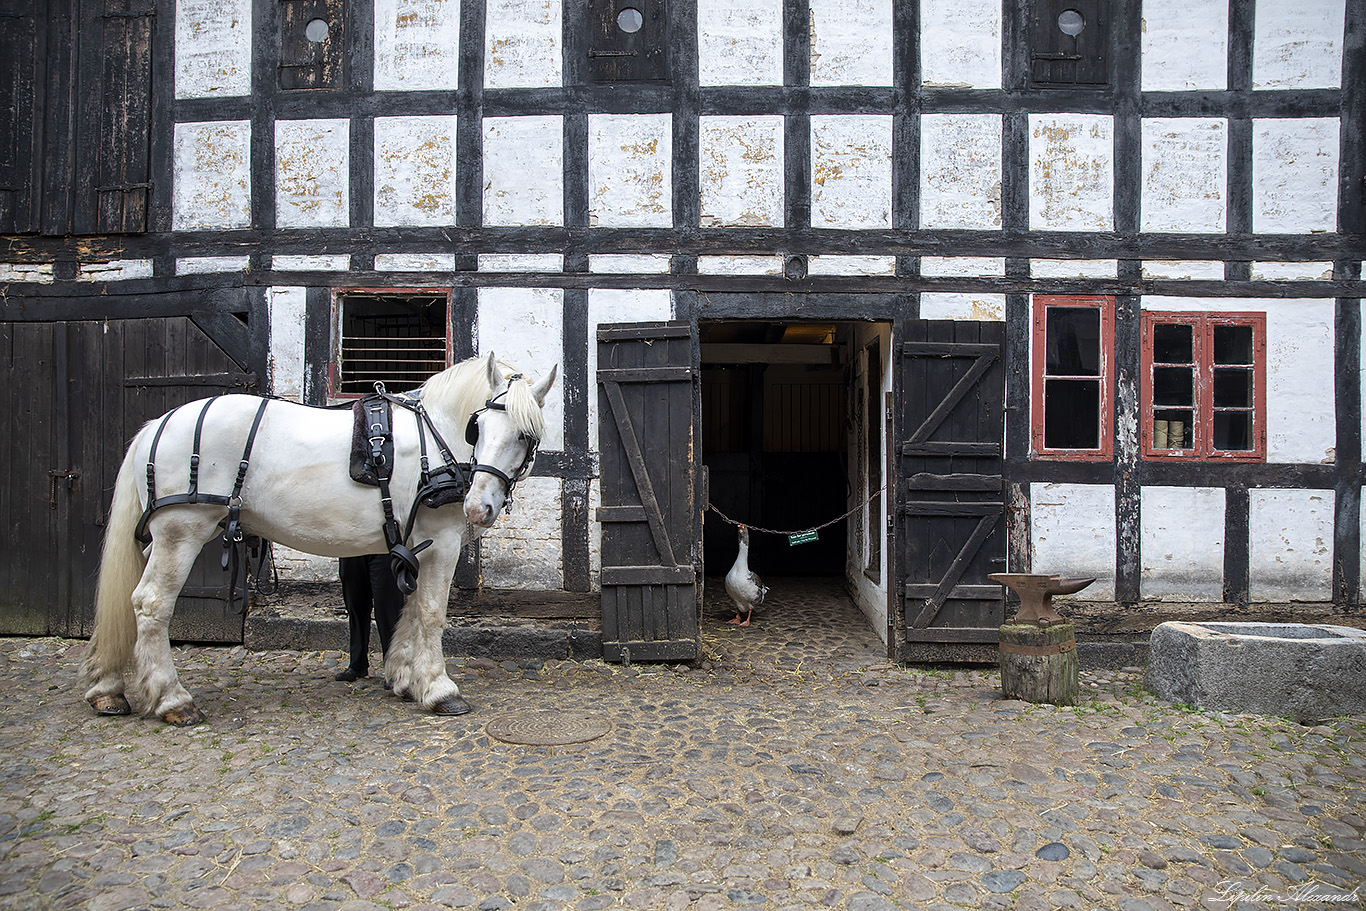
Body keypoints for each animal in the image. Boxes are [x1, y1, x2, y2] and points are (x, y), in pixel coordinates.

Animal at [74, 352, 551, 721]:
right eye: (478, 428)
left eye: (525, 435)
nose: (477, 507)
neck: (435, 437)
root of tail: (157, 424)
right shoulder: (442, 541)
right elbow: (431, 613)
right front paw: (438, 689)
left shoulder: (416, 544)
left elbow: (407, 611)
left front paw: (402, 677)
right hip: (181, 531)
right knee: (151, 604)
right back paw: (173, 699)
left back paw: (108, 690)